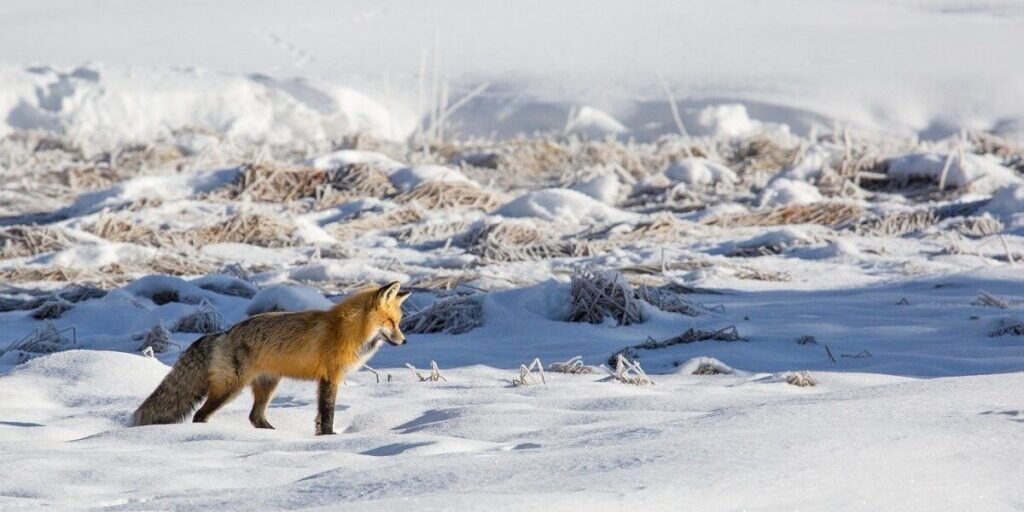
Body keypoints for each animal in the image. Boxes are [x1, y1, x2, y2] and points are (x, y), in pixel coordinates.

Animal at [130, 282, 409, 434]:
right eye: (391, 323)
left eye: (398, 323)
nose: (405, 342)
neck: (347, 330)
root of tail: (223, 333)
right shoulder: (330, 378)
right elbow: (327, 414)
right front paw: (330, 438)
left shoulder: (325, 380)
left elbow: (320, 418)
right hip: (231, 388)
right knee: (200, 414)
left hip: (268, 385)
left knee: (255, 417)